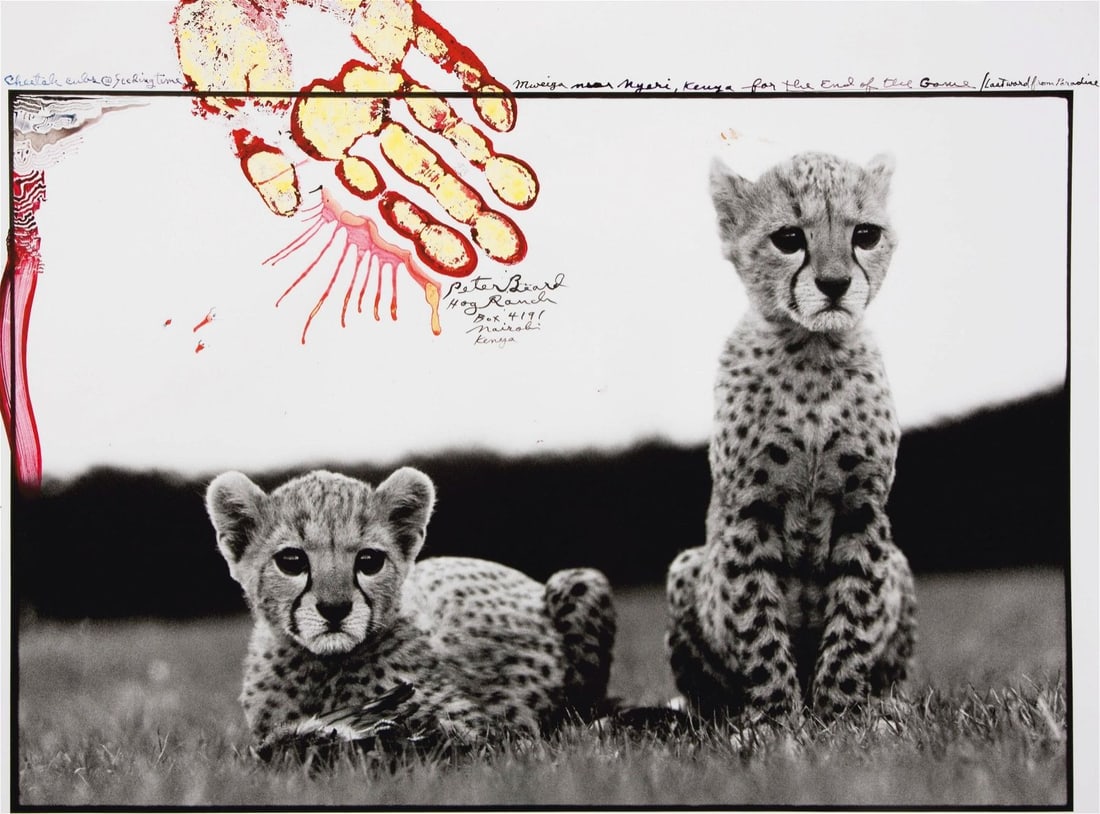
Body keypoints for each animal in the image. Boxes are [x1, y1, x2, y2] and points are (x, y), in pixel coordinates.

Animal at [206, 466, 616, 760]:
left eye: (369, 561)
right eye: (291, 561)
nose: (335, 609)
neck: (323, 668)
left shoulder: (479, 726)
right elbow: (274, 744)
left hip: (580, 581)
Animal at [666, 151, 916, 725]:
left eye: (865, 234)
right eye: (788, 239)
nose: (835, 283)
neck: (812, 352)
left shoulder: (864, 509)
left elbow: (855, 615)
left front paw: (842, 715)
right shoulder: (748, 511)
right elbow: (757, 620)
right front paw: (777, 719)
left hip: (901, 565)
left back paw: (888, 705)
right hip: (687, 567)